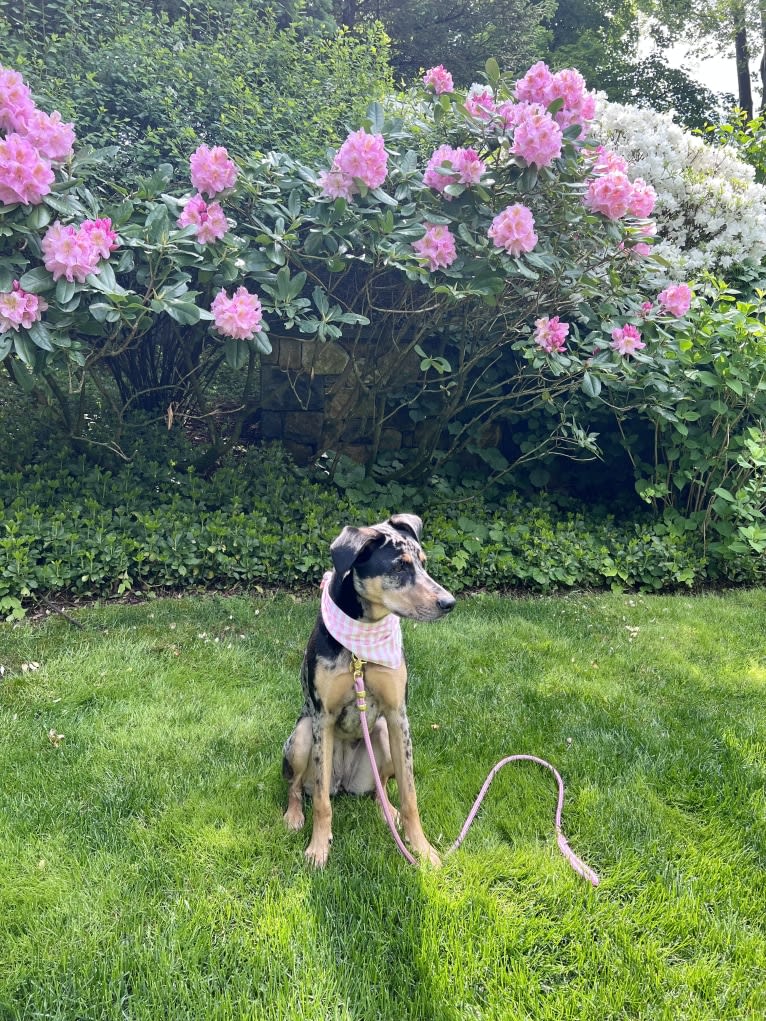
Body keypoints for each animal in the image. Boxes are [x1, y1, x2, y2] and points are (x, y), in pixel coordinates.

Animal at [285, 514, 459, 865]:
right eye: (399, 567)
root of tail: (343, 783)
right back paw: (294, 815)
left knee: (381, 789)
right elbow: (321, 803)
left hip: (381, 735)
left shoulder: (397, 716)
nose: (449, 602)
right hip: (301, 736)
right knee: (297, 788)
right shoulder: (322, 718)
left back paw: (388, 812)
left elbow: (410, 795)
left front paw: (422, 850)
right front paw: (318, 848)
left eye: (423, 563)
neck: (362, 647)